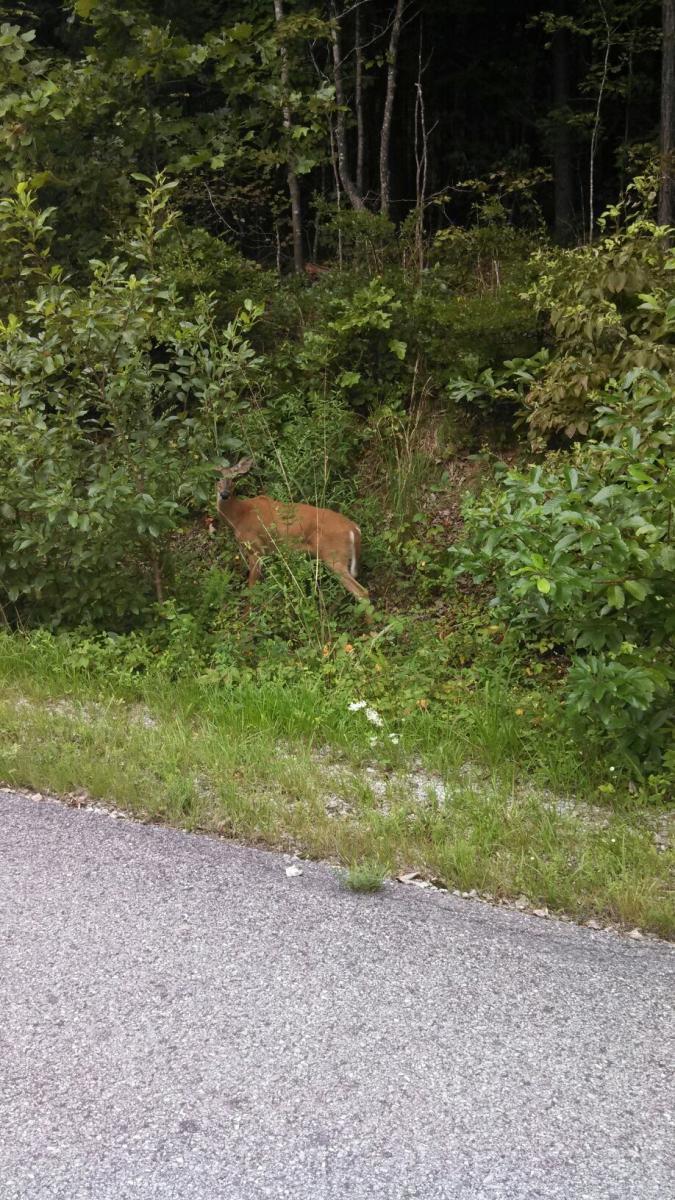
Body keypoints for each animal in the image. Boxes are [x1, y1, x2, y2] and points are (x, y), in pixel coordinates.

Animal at [212, 457, 370, 610]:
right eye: (217, 478)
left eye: (235, 478)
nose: (224, 494)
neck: (238, 517)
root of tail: (354, 528)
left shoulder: (256, 549)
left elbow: (252, 590)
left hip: (333, 555)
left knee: (361, 592)